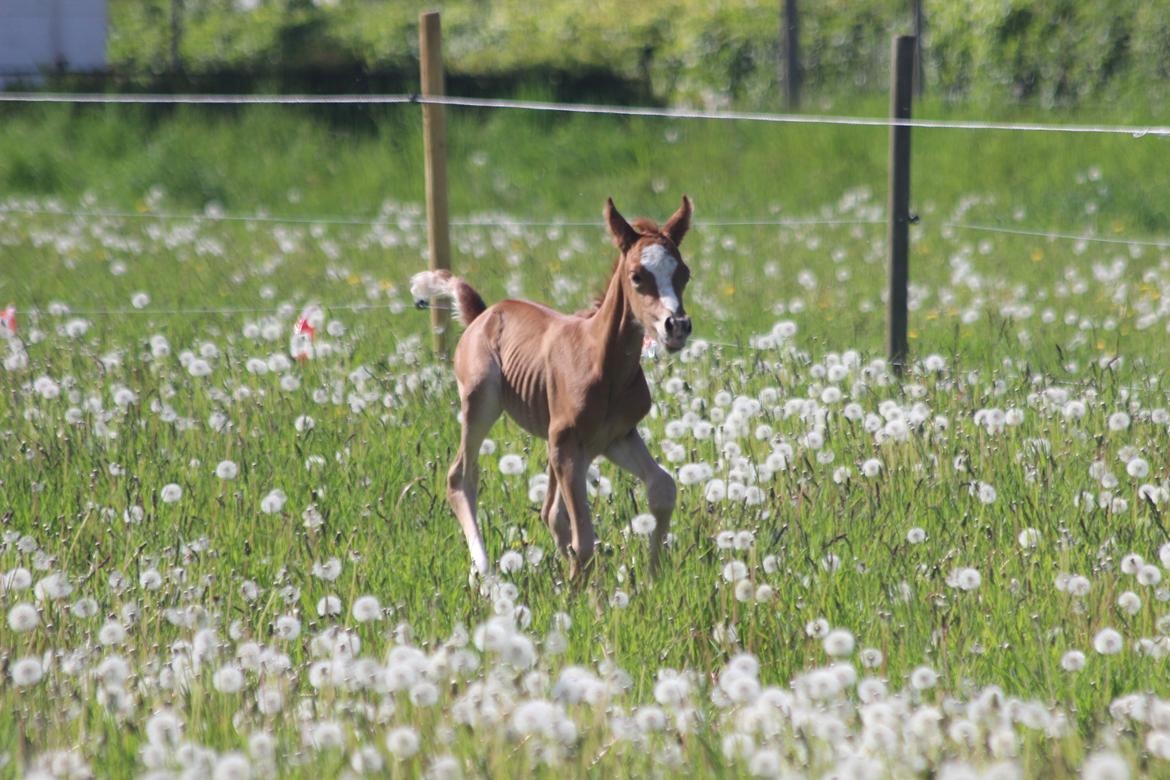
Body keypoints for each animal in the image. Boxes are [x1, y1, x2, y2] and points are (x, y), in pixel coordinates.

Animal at [416, 198, 692, 582]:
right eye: (637, 275)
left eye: (684, 273)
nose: (676, 326)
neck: (603, 364)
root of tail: (483, 315)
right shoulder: (566, 445)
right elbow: (583, 539)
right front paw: (580, 593)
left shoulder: (615, 437)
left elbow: (663, 487)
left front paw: (652, 578)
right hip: (481, 402)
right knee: (461, 477)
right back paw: (484, 574)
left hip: (571, 444)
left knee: (551, 511)